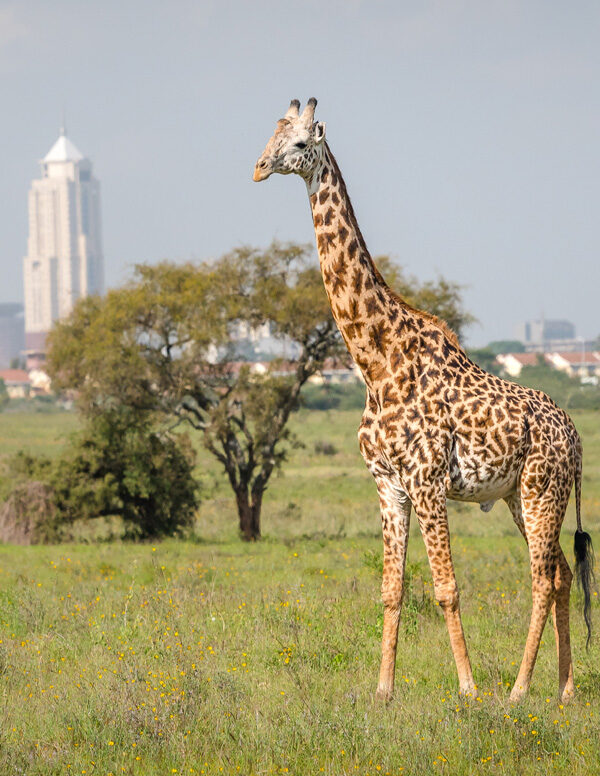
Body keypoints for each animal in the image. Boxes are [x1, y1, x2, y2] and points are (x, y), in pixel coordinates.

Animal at [253, 98, 594, 703]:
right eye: (271, 135)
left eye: (299, 143)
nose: (259, 167)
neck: (376, 362)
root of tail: (576, 439)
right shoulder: (388, 485)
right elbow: (391, 589)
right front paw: (383, 691)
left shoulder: (428, 481)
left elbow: (446, 588)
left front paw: (468, 689)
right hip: (519, 495)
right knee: (561, 573)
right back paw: (565, 689)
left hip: (541, 489)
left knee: (541, 576)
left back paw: (518, 691)